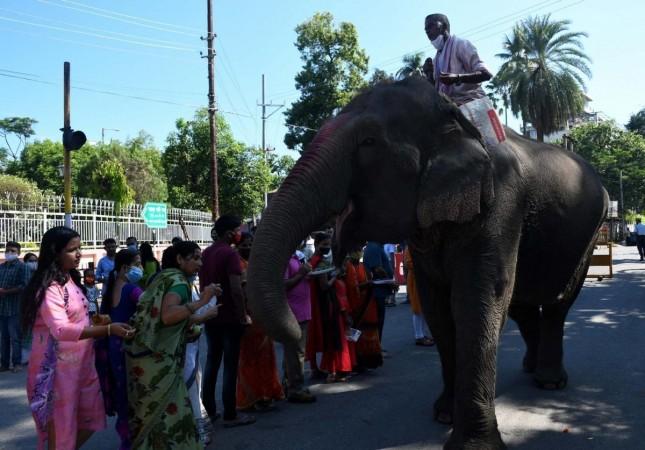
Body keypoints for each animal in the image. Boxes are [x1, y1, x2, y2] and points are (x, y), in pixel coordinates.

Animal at [246, 76, 608, 449]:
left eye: (368, 142)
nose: (296, 332)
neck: (452, 117)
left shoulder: (502, 203)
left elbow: (477, 300)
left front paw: (472, 444)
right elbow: (437, 306)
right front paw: (445, 415)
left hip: (591, 231)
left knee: (556, 303)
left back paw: (549, 380)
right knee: (522, 305)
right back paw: (530, 368)